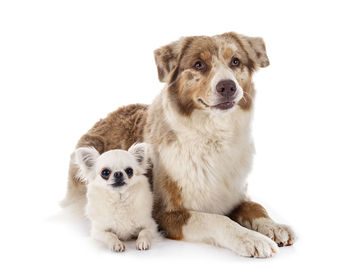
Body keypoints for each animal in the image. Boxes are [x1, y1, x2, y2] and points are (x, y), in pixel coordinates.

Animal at [63, 31, 296, 258]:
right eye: (199, 64)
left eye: (236, 61)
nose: (228, 86)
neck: (213, 136)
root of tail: (104, 118)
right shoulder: (165, 213)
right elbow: (217, 219)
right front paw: (251, 239)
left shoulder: (236, 196)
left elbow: (257, 207)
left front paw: (274, 226)